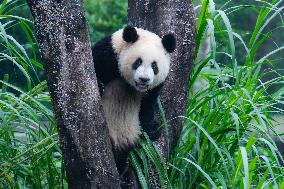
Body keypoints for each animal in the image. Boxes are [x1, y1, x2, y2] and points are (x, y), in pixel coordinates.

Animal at [91, 26, 175, 177]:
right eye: (138, 62)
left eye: (154, 66)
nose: (144, 79)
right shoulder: (107, 55)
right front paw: (100, 85)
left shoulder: (154, 87)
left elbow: (148, 107)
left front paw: (152, 131)